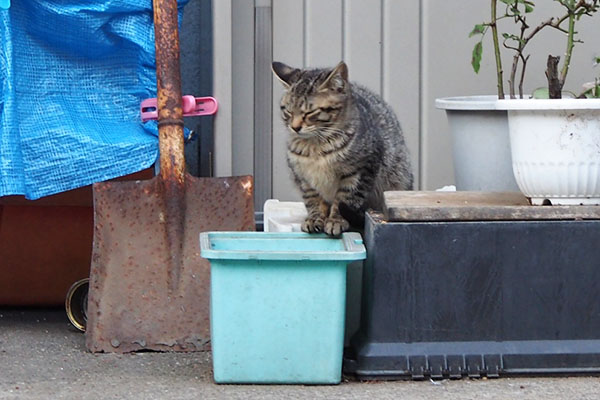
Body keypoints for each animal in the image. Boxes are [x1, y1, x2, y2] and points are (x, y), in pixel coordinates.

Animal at [272, 61, 412, 236]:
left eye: (310, 112)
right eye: (288, 111)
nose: (295, 127)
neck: (315, 148)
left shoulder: (359, 172)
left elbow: (344, 199)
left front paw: (335, 221)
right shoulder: (303, 178)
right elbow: (312, 200)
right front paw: (314, 218)